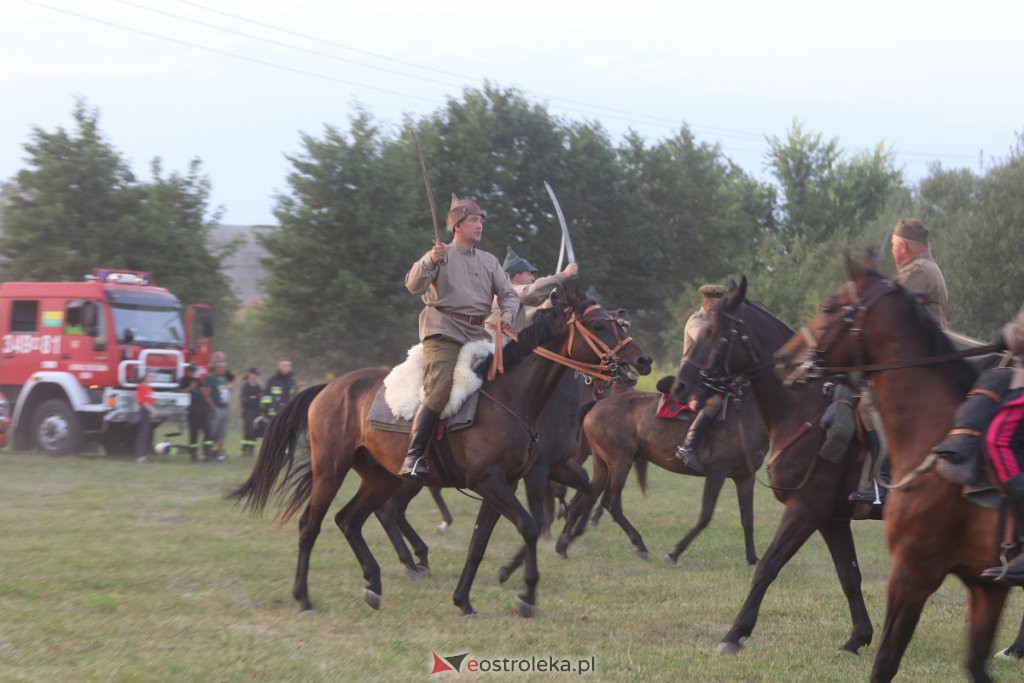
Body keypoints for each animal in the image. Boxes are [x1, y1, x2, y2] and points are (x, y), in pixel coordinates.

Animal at [229, 294, 651, 618]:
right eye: (598, 325)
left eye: (617, 323)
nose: (642, 361)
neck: (511, 397)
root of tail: (328, 388)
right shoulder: (495, 482)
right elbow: (530, 525)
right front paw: (527, 595)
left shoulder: (504, 485)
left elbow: (480, 543)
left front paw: (464, 600)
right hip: (331, 470)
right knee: (311, 525)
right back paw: (304, 597)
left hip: (381, 478)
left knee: (350, 519)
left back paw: (375, 584)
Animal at [552, 387, 770, 569]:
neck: (747, 415)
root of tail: (597, 404)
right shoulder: (717, 472)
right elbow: (705, 516)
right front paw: (674, 554)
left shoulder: (745, 477)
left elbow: (748, 518)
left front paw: (753, 559)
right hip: (620, 462)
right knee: (610, 502)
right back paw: (640, 545)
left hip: (603, 465)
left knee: (583, 499)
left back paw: (563, 544)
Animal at [675, 276, 876, 655]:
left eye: (713, 333)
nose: (679, 387)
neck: (804, 409)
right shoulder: (831, 518)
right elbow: (849, 574)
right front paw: (858, 636)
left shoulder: (805, 510)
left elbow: (767, 567)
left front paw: (734, 633)